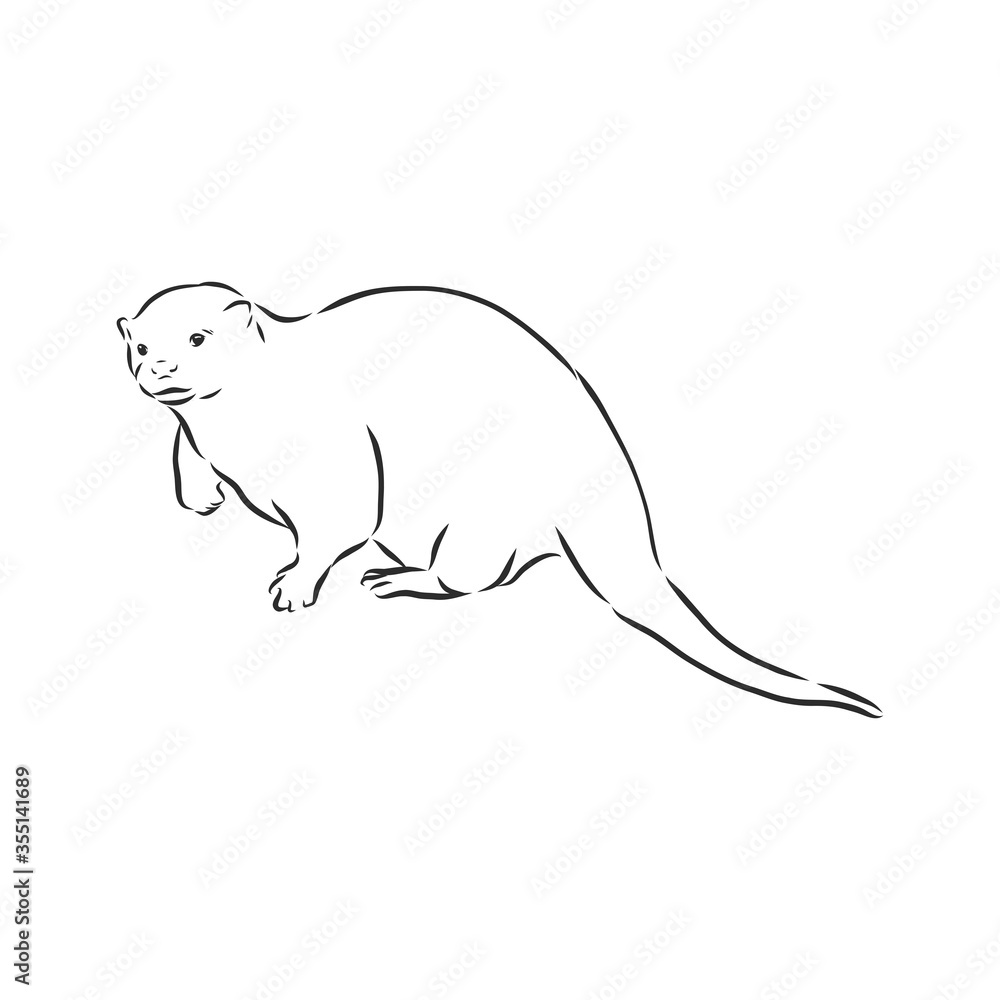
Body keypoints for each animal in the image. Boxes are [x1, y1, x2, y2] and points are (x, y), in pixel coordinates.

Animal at [117, 281, 880, 717]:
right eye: (142, 346)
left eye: (196, 337)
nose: (161, 367)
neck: (240, 421)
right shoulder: (198, 434)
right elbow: (187, 456)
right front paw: (200, 494)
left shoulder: (338, 459)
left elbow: (339, 524)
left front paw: (295, 584)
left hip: (477, 518)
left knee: (476, 578)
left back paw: (401, 579)